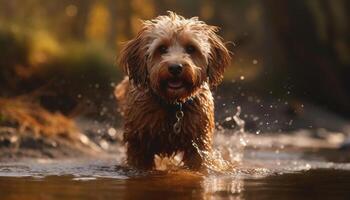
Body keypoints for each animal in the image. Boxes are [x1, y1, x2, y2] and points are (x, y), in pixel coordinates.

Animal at [115, 11, 232, 170]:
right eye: (162, 48)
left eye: (191, 48)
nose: (175, 67)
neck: (173, 105)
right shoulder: (138, 144)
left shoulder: (198, 145)